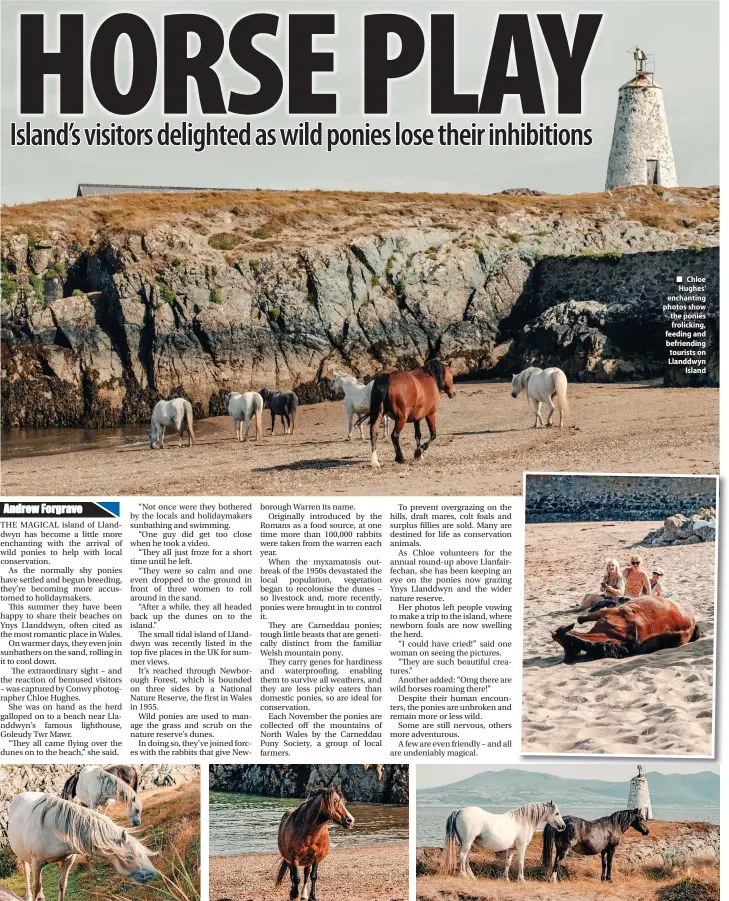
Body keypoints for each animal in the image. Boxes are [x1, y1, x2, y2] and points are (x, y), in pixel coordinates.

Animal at [8, 792, 158, 900]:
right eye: (129, 857)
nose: (153, 875)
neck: (55, 830)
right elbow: (36, 886)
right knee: (28, 874)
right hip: (22, 856)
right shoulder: (36, 861)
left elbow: (62, 885)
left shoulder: (67, 861)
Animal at [436, 800, 564, 880]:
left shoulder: (511, 848)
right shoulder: (521, 847)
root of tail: (460, 810)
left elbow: (508, 862)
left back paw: (472, 876)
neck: (522, 821)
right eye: (557, 813)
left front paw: (506, 878)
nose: (563, 826)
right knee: (462, 856)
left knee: (466, 858)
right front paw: (521, 880)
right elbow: (521, 862)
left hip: (465, 843)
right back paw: (464, 875)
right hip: (467, 842)